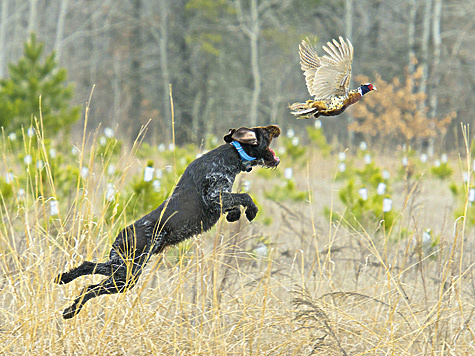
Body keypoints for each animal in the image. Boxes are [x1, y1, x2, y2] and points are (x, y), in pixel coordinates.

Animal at [54, 124, 280, 318]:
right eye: (263, 131)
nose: (275, 128)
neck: (233, 153)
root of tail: (123, 234)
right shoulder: (214, 196)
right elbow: (245, 196)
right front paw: (251, 211)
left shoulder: (219, 200)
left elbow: (235, 205)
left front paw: (235, 215)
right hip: (127, 275)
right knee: (90, 288)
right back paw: (70, 311)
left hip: (120, 266)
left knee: (88, 267)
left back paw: (64, 279)